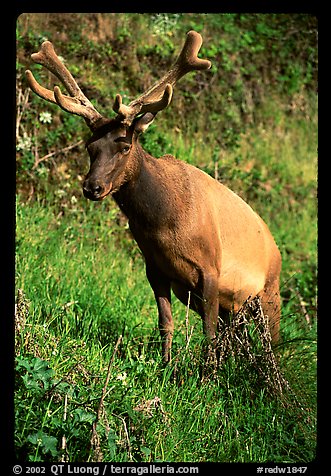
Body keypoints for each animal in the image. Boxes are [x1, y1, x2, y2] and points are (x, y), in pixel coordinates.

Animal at [26, 31, 282, 362]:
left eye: (125, 146)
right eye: (89, 147)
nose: (92, 187)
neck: (164, 224)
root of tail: (276, 250)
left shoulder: (211, 269)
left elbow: (209, 334)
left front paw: (207, 373)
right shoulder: (155, 268)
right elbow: (166, 323)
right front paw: (167, 366)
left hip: (270, 294)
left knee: (273, 345)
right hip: (235, 307)